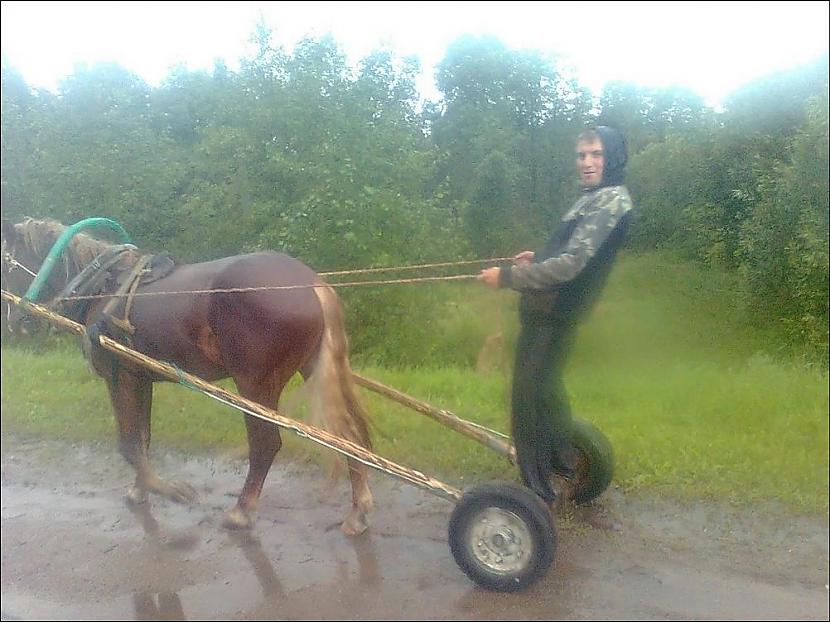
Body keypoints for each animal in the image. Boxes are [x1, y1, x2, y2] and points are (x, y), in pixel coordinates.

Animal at [0, 219, 374, 536]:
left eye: (5, 265)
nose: (14, 320)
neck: (103, 287)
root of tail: (313, 284)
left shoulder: (119, 376)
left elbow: (128, 443)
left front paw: (168, 490)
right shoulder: (140, 376)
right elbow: (143, 438)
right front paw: (141, 488)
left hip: (254, 383)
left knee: (266, 444)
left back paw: (242, 510)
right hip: (314, 368)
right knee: (349, 435)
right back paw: (358, 510)